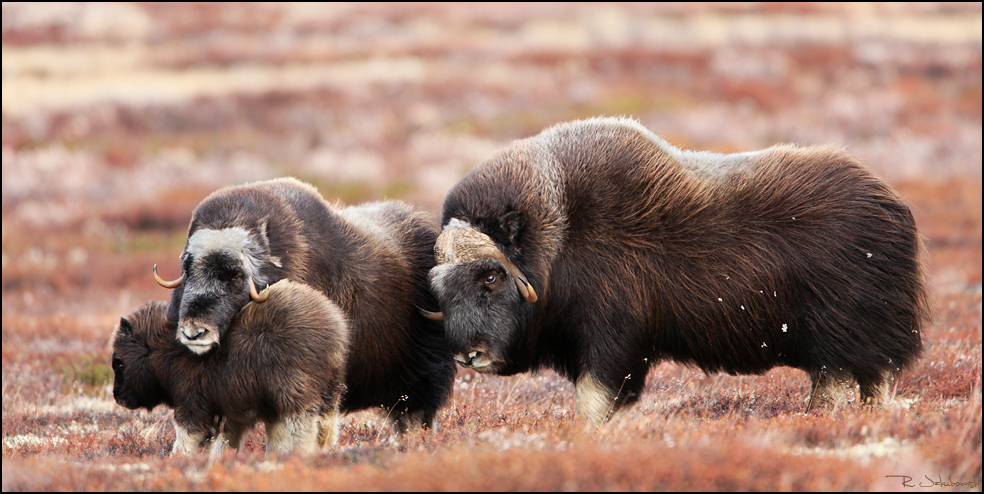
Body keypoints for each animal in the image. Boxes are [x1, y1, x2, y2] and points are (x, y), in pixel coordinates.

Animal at [111, 280, 348, 458]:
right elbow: (233, 438)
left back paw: (302, 455)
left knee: (304, 428)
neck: (165, 350)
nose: (118, 398)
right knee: (326, 427)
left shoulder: (192, 402)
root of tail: (333, 327)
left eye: (120, 362)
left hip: (295, 391)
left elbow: (187, 436)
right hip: (331, 392)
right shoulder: (242, 409)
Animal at [426, 116, 928, 420]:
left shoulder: (609, 340)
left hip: (841, 335)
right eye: (440, 288)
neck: (561, 240)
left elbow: (596, 398)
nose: (467, 355)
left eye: (491, 276)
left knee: (839, 381)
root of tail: (893, 203)